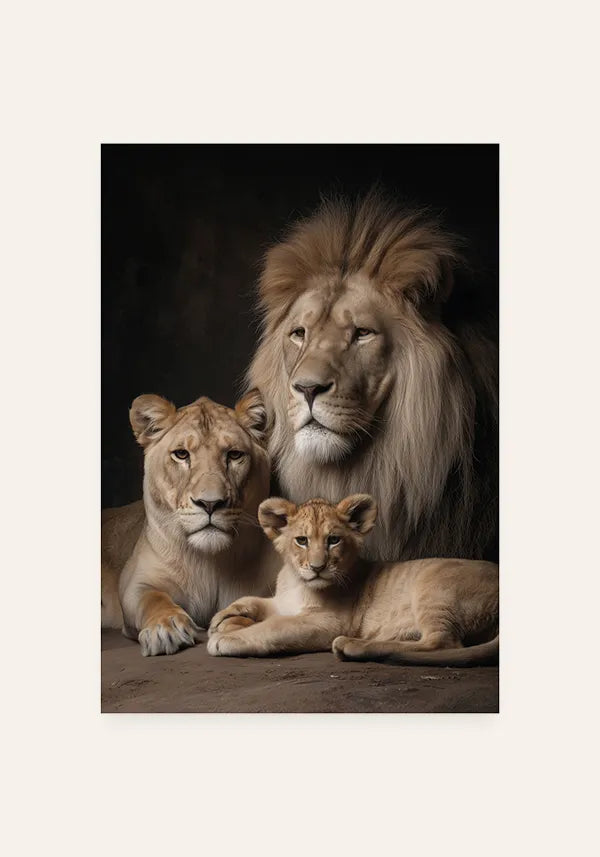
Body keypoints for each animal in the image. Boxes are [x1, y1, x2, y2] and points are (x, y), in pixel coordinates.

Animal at [101, 390, 279, 656]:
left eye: (234, 454)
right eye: (181, 454)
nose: (210, 503)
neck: (211, 564)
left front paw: (237, 623)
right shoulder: (136, 582)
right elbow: (152, 598)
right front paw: (165, 628)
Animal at [207, 495, 499, 666]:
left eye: (333, 540)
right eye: (301, 540)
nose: (317, 567)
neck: (298, 584)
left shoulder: (328, 622)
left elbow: (275, 626)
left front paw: (227, 637)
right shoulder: (284, 601)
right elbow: (254, 600)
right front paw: (225, 619)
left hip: (433, 585)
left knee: (442, 643)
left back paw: (352, 645)